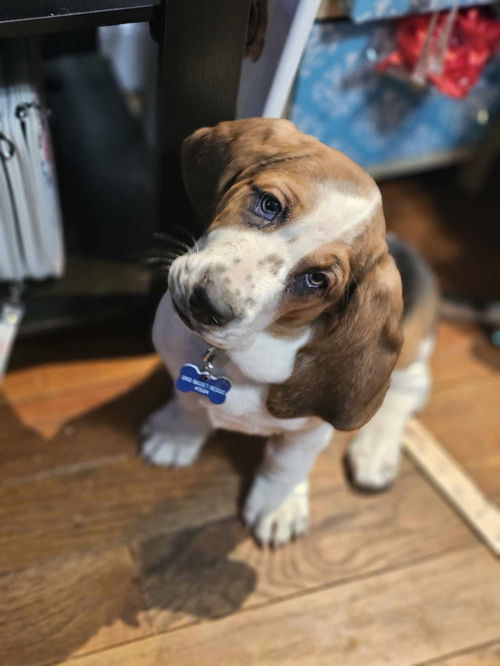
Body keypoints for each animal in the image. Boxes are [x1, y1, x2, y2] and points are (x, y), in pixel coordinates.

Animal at [143, 118, 440, 544]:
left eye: (317, 280)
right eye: (269, 204)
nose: (207, 305)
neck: (233, 358)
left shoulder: (307, 433)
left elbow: (285, 464)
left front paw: (277, 506)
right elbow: (189, 403)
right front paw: (177, 435)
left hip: (411, 346)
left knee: (411, 386)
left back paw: (375, 451)